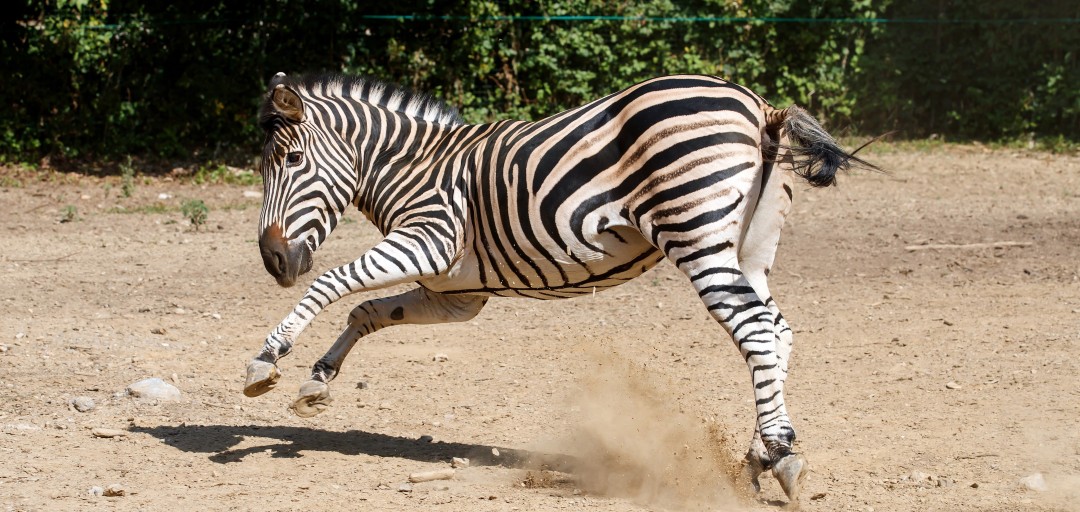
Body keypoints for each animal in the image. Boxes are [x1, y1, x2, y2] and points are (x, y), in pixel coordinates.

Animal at [245, 71, 876, 507]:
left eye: (292, 160)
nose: (273, 261)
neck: (413, 167)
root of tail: (759, 106)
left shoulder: (430, 239)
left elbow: (333, 282)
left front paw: (267, 360)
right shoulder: (456, 294)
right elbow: (369, 313)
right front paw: (317, 381)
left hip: (696, 236)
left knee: (755, 331)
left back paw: (782, 455)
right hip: (748, 250)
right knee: (778, 331)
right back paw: (758, 456)